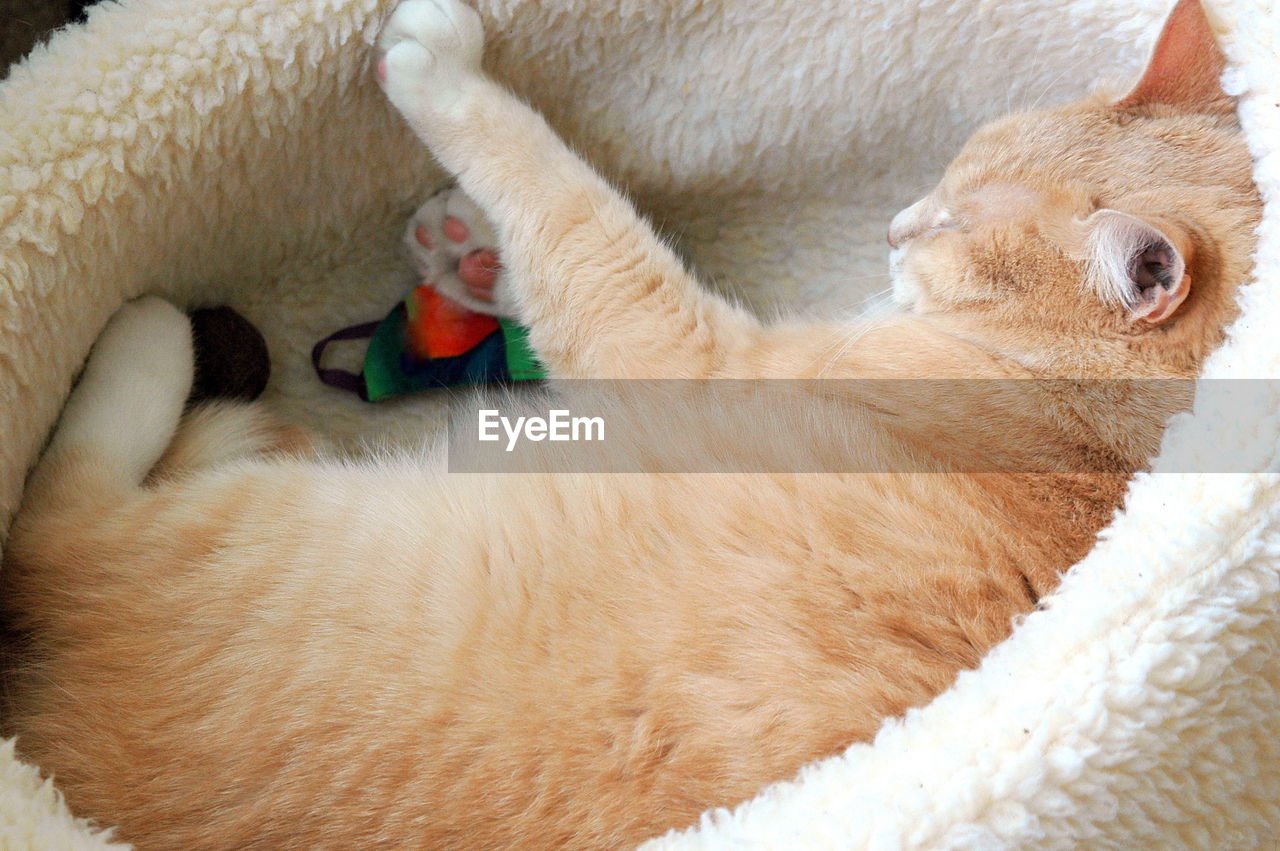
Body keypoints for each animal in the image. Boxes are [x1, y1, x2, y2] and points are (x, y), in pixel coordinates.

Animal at [0, 0, 1259, 844]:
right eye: (949, 173)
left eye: (955, 221)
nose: (899, 226)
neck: (1070, 432)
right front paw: (469, 255)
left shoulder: (672, 347)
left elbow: (563, 207)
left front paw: (441, 75)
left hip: (169, 535)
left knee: (60, 510)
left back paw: (147, 338)